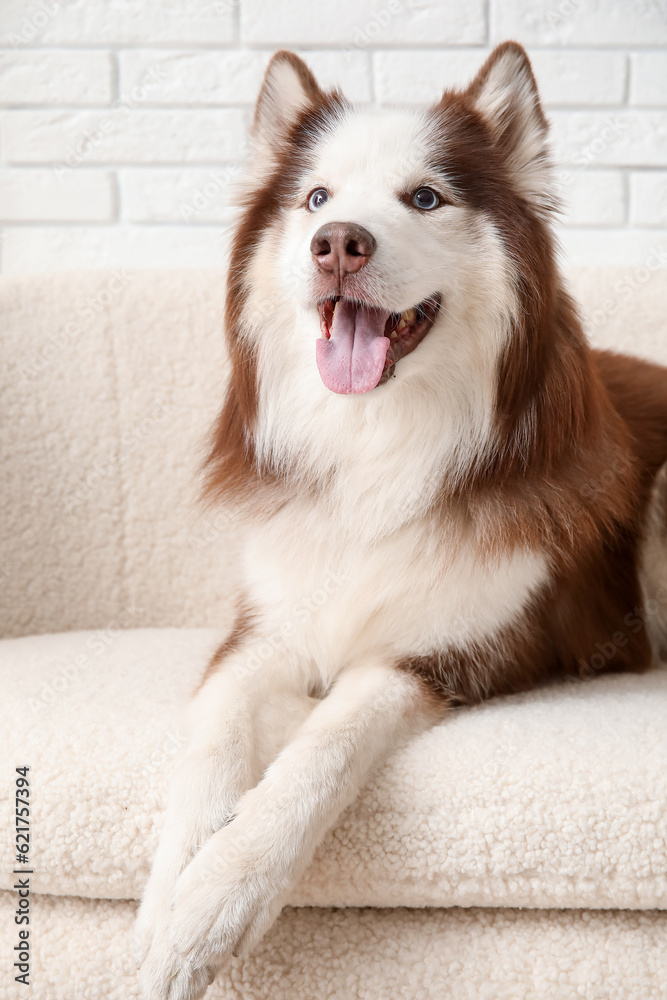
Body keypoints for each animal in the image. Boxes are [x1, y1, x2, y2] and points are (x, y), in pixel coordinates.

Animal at [137, 43, 667, 996]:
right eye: (315, 198)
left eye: (425, 197)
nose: (338, 244)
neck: (378, 444)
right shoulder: (265, 626)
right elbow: (212, 732)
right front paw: (171, 898)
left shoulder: (464, 648)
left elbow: (328, 741)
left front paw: (217, 897)